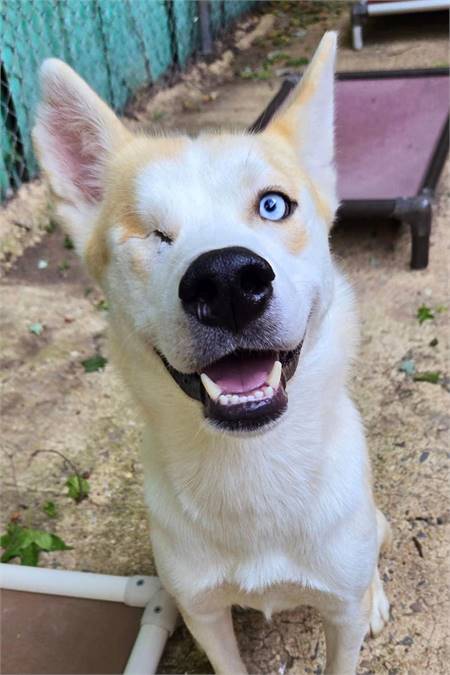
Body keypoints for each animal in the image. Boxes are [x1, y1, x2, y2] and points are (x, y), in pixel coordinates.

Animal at [33, 33, 390, 675]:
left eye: (273, 206)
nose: (226, 281)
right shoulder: (201, 613)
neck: (253, 467)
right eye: (153, 233)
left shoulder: (341, 613)